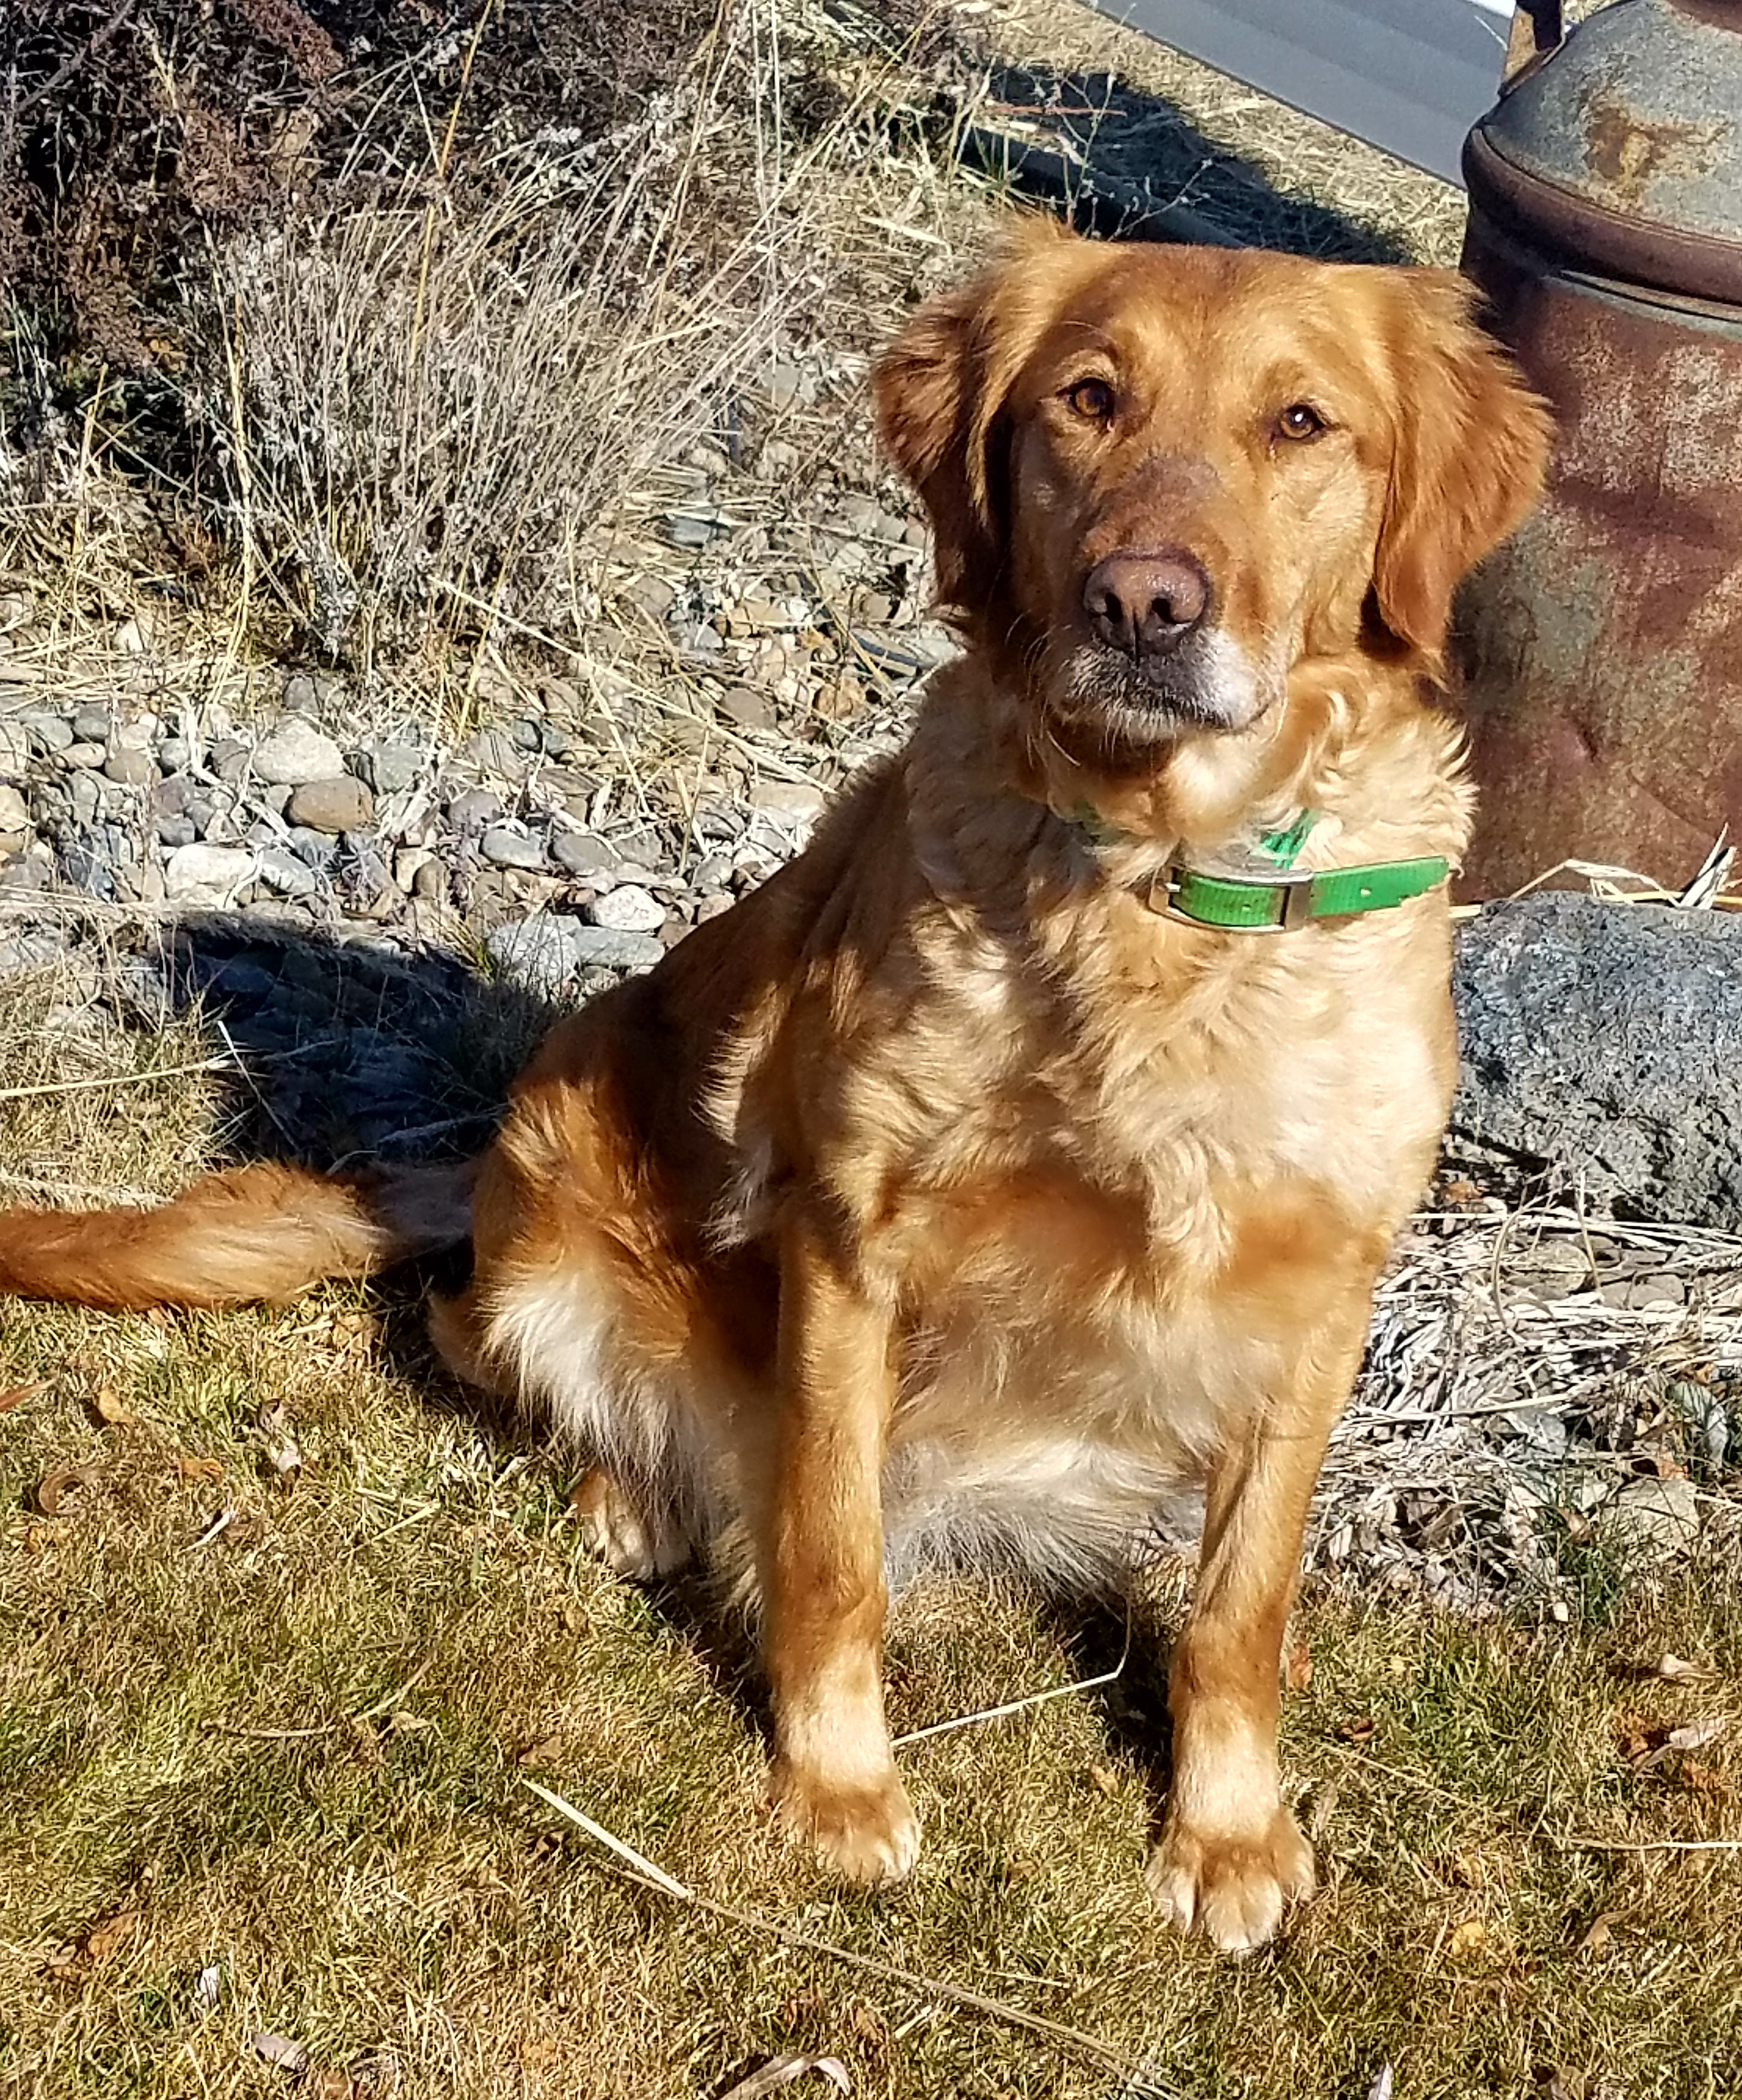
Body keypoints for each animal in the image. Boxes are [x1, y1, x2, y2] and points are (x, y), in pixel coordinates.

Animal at [0, 221, 1546, 1940]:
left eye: (1301, 424)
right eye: (1089, 399)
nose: (1142, 602)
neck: (1158, 881)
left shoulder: (1321, 1295)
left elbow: (1240, 1606)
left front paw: (1226, 1832)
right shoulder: (850, 1242)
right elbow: (829, 1543)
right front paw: (837, 1790)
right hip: (551, 1219)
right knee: (487, 1343)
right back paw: (632, 1492)